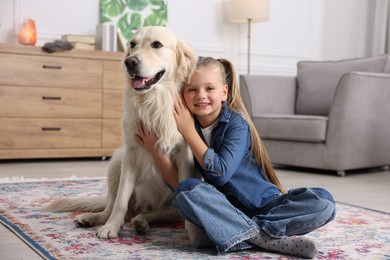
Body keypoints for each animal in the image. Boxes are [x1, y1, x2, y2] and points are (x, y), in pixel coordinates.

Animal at [46, 26, 201, 240]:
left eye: (157, 44)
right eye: (132, 44)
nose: (130, 62)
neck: (153, 102)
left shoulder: (184, 154)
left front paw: (193, 232)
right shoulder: (130, 152)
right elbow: (121, 200)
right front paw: (112, 227)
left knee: (159, 213)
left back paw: (141, 222)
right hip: (116, 162)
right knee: (112, 207)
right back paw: (92, 219)